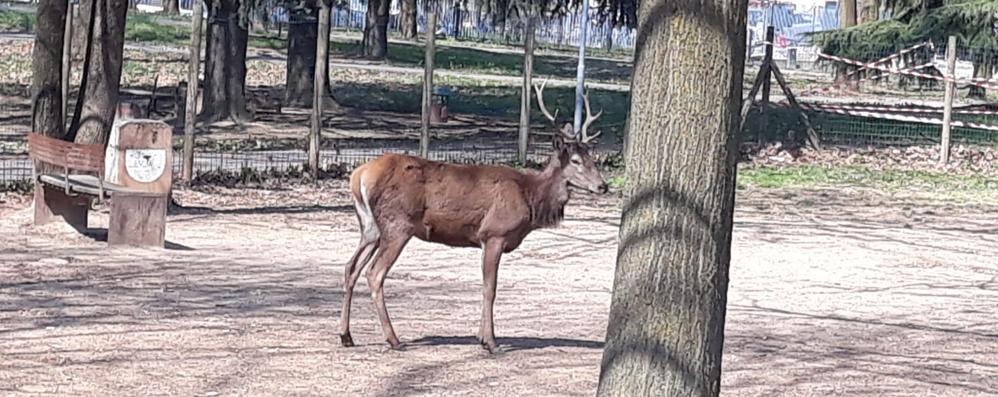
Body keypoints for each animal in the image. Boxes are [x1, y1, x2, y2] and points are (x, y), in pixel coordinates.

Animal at [338, 80, 608, 352]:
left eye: (592, 157)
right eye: (575, 160)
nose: (603, 186)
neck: (529, 198)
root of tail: (359, 176)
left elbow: (485, 286)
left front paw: (481, 336)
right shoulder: (494, 233)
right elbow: (490, 288)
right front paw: (490, 341)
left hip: (370, 227)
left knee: (351, 267)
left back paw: (346, 335)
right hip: (398, 224)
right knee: (374, 273)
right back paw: (393, 339)